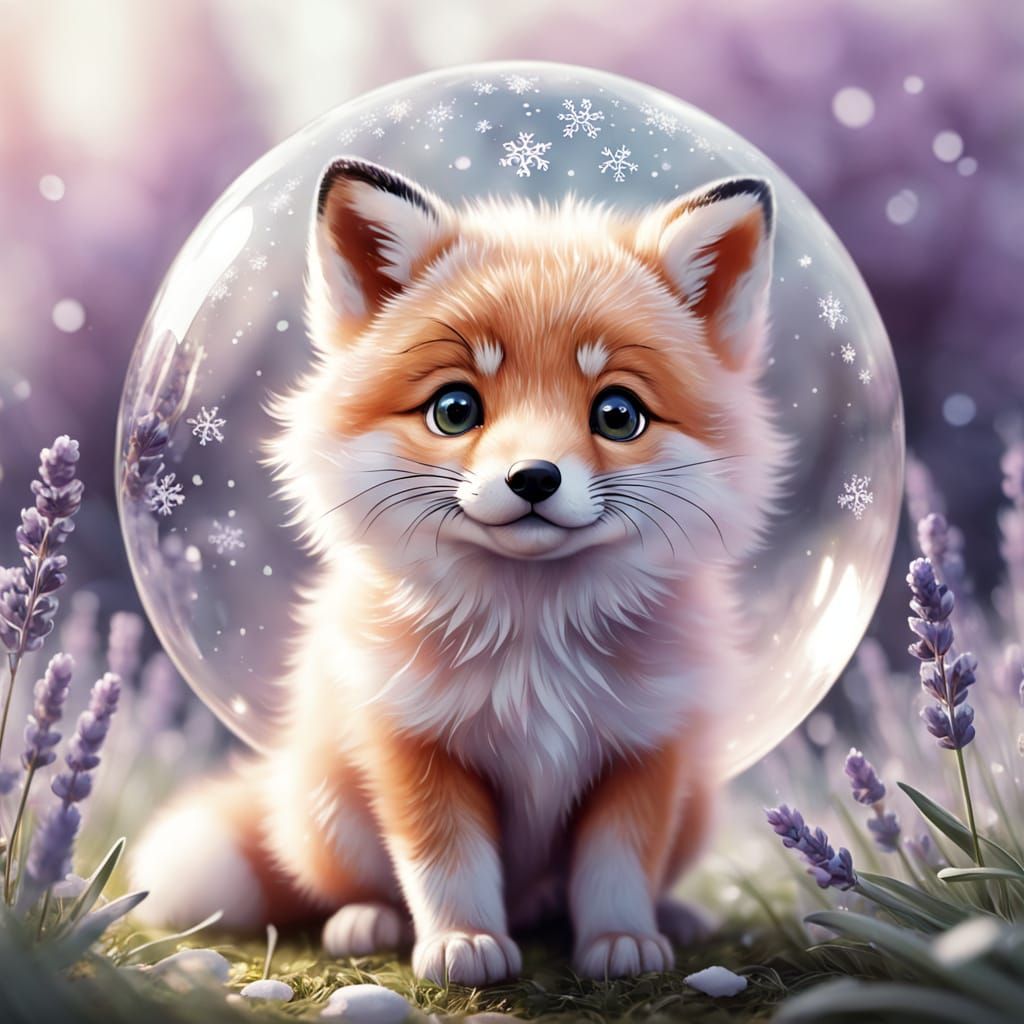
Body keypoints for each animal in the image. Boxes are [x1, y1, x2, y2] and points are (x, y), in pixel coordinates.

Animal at [130, 156, 791, 984]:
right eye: (454, 409)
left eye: (618, 415)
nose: (534, 478)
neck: (536, 646)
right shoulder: (411, 741)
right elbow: (445, 863)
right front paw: (462, 942)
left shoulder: (646, 745)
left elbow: (617, 866)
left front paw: (620, 940)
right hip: (329, 803)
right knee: (346, 883)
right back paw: (368, 922)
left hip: (696, 804)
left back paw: (662, 914)